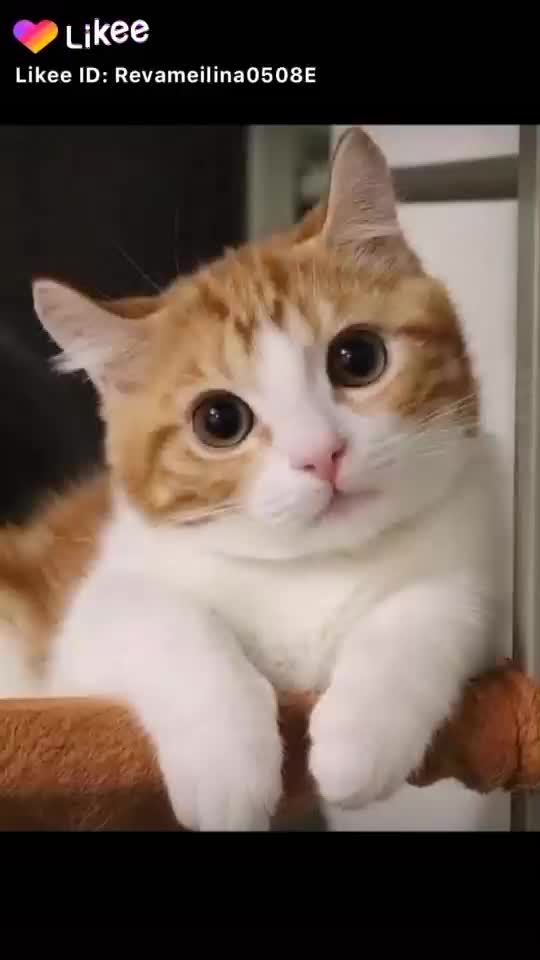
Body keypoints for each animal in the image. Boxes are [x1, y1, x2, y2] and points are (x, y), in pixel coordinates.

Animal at [0, 127, 503, 830]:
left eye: (357, 358)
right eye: (219, 420)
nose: (322, 454)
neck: (311, 570)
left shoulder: (475, 553)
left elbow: (435, 608)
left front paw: (360, 735)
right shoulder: (85, 637)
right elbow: (157, 619)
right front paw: (227, 767)